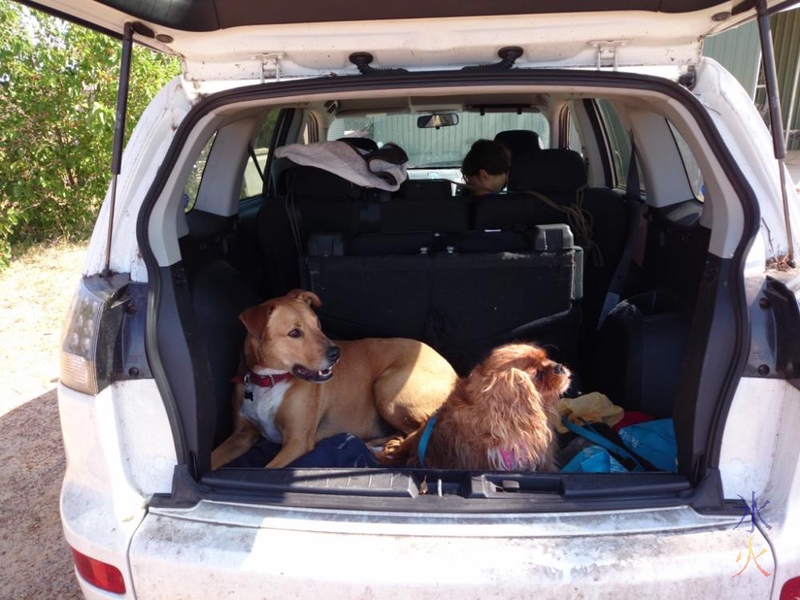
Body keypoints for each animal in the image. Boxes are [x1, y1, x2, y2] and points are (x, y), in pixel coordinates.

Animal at [212, 290, 456, 468]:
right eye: (294, 333)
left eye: (318, 324)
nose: (336, 353)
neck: (269, 380)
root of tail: (455, 374)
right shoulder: (242, 435)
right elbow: (213, 458)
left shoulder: (297, 441)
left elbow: (269, 469)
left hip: (387, 386)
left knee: (422, 427)